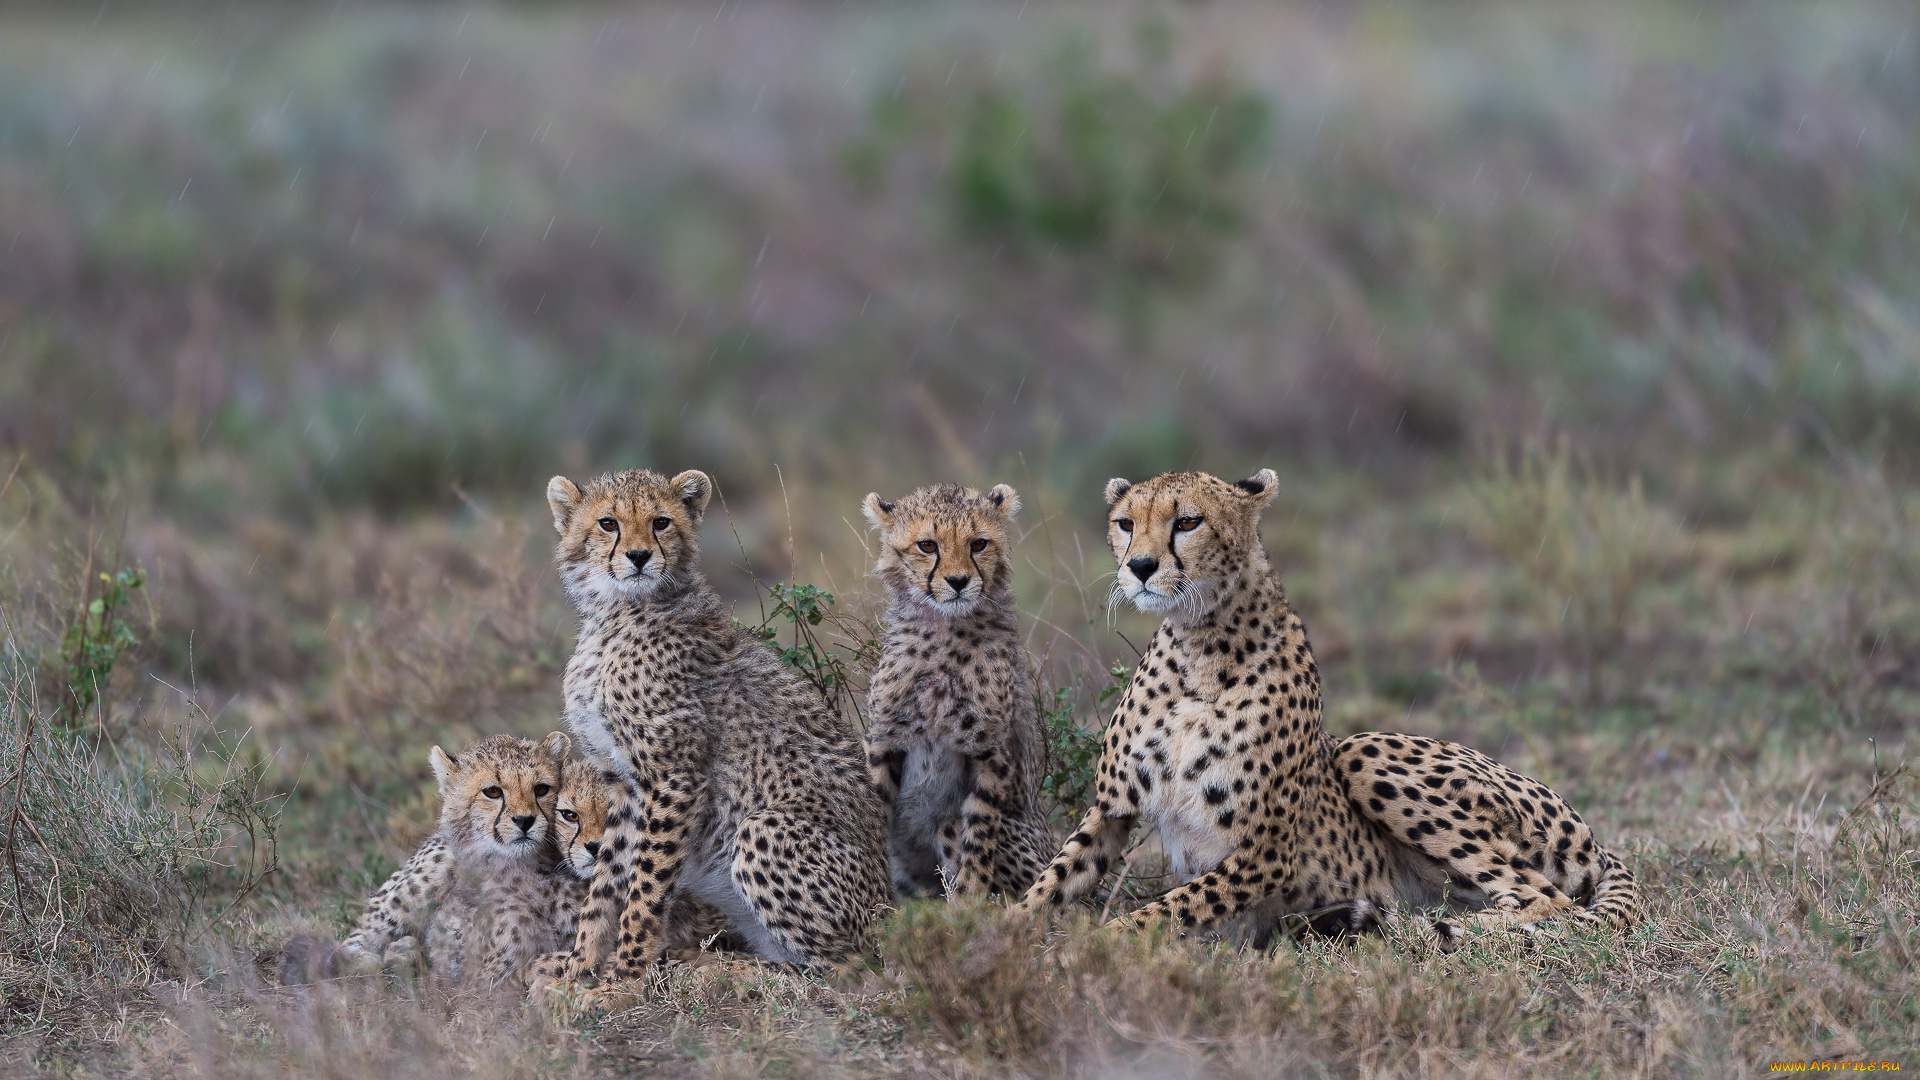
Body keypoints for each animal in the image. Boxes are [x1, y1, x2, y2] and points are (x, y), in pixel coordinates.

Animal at [864, 484, 1059, 895]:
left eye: (978, 544)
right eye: (927, 545)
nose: (958, 581)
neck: (944, 629)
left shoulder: (991, 750)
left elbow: (978, 835)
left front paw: (970, 903)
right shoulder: (883, 739)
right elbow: (870, 815)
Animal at [1021, 466, 1635, 937]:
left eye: (1187, 522)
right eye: (1126, 523)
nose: (1140, 567)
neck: (1200, 645)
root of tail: (1597, 843)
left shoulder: (1266, 852)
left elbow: (1163, 911)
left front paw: (1093, 946)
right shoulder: (1111, 810)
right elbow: (1051, 880)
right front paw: (1006, 932)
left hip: (1365, 752)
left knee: (1548, 901)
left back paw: (1421, 926)